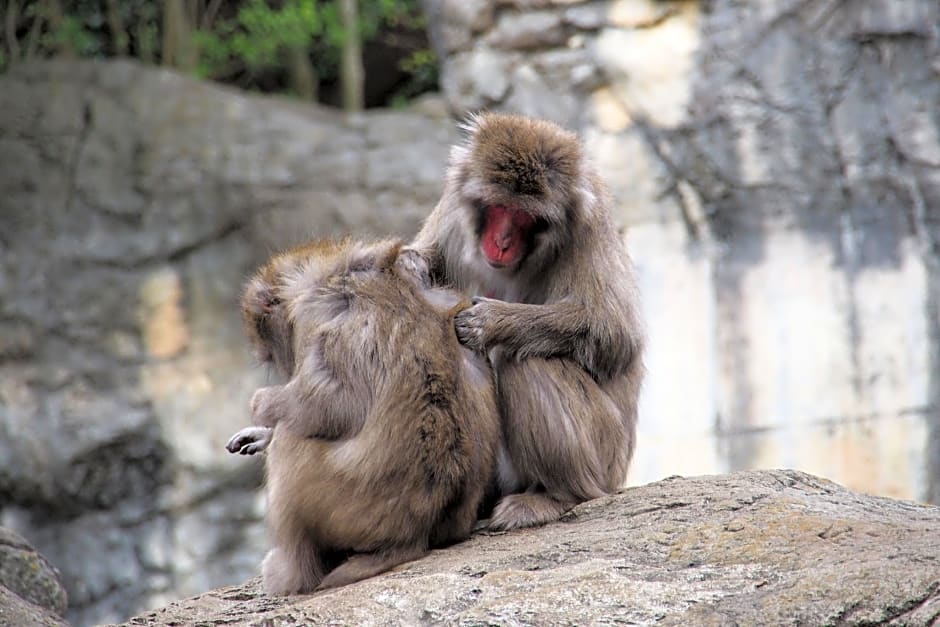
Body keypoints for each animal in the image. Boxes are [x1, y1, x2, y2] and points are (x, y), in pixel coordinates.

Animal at [223, 238, 500, 596]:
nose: (281, 363)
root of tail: (414, 534)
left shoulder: (318, 315)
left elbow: (328, 404)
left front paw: (263, 405)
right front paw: (259, 434)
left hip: (341, 505)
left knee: (293, 439)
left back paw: (292, 573)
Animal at [408, 111, 644, 528]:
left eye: (525, 217)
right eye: (498, 208)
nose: (502, 243)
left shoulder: (590, 225)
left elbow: (614, 332)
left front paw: (490, 321)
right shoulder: (454, 204)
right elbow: (431, 261)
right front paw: (408, 265)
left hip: (606, 453)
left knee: (527, 359)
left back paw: (555, 496)